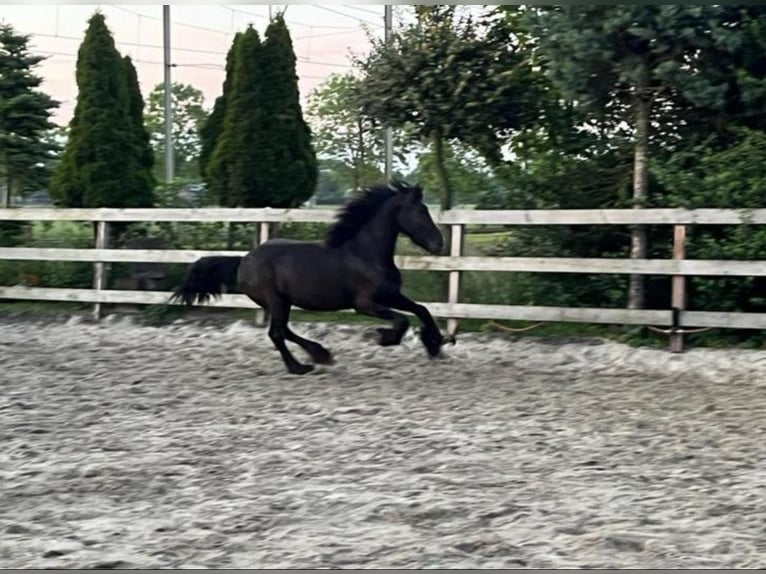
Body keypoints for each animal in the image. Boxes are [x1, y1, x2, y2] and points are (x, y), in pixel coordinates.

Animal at [172, 182, 456, 376]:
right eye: (420, 212)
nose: (438, 244)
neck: (365, 254)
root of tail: (244, 260)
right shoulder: (364, 304)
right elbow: (402, 320)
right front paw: (385, 338)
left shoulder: (391, 295)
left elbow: (421, 309)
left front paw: (437, 343)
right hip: (275, 300)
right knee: (276, 333)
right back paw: (300, 367)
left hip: (282, 302)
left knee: (284, 330)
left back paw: (320, 354)